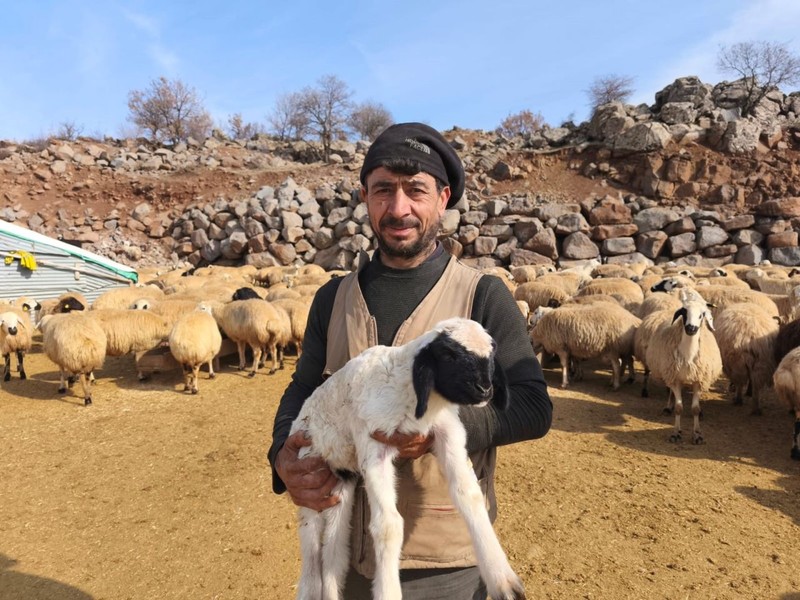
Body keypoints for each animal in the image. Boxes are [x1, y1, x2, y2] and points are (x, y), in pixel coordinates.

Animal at [288, 316, 524, 600]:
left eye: (492, 353)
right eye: (448, 354)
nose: (485, 389)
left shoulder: (447, 431)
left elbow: (470, 496)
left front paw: (503, 580)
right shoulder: (373, 445)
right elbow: (388, 526)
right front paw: (388, 590)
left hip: (341, 482)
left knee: (334, 552)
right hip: (311, 471)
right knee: (311, 544)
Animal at [644, 288, 724, 442]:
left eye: (702, 314)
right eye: (684, 312)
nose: (691, 328)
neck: (688, 355)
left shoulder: (699, 380)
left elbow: (695, 409)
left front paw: (697, 434)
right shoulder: (675, 378)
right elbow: (679, 407)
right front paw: (676, 432)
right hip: (670, 373)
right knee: (670, 393)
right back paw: (668, 406)